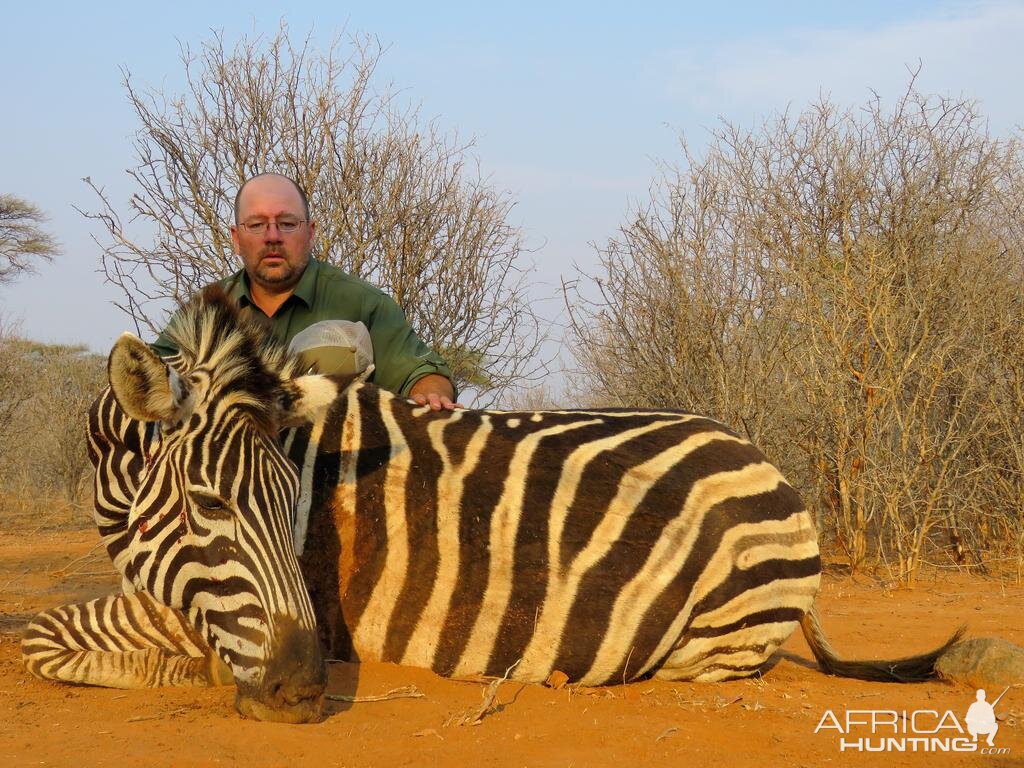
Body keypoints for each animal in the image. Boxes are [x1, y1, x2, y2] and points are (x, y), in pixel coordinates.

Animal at [22, 286, 958, 724]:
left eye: (292, 504)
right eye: (206, 504)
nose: (300, 686)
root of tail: (766, 459)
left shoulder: (180, 607)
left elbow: (40, 638)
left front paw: (197, 671)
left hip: (716, 638)